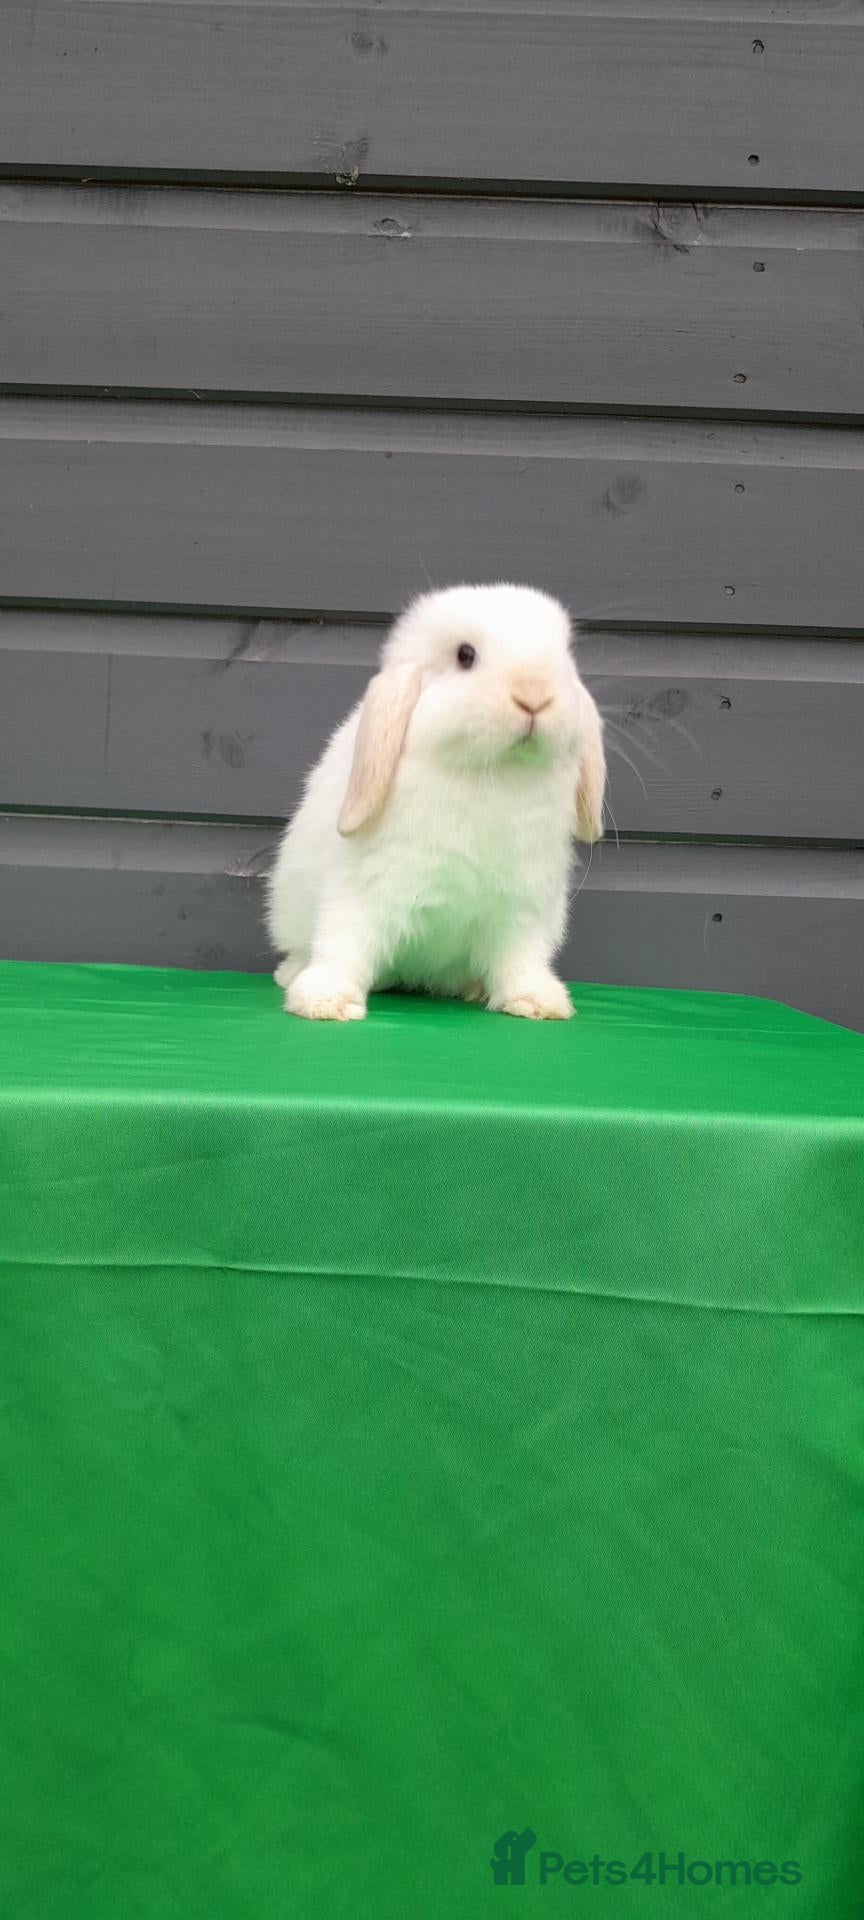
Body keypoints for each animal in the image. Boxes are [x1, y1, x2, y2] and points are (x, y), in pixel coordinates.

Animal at [266, 583, 606, 1022]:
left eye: (564, 654)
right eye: (465, 655)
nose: (535, 695)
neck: (494, 776)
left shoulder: (523, 907)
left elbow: (521, 958)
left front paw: (537, 1001)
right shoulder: (363, 887)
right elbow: (344, 941)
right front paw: (325, 1002)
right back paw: (293, 975)